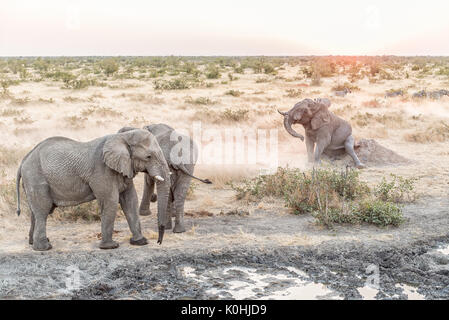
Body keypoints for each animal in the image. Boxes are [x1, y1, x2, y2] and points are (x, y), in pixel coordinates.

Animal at [15, 129, 170, 251]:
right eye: (148, 157)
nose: (159, 241)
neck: (123, 137)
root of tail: (23, 160)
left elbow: (130, 200)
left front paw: (140, 242)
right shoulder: (102, 170)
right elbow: (110, 201)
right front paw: (110, 247)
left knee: (35, 212)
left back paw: (34, 243)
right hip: (36, 178)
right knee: (43, 210)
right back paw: (44, 248)